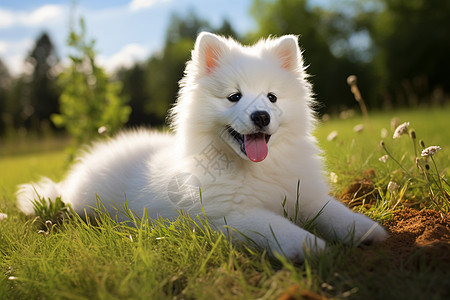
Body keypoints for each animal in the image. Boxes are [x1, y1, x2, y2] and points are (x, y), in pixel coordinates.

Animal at [17, 32, 386, 262]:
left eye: (272, 97)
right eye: (234, 97)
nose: (261, 115)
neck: (256, 170)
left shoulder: (304, 195)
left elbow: (334, 212)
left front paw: (365, 230)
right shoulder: (232, 216)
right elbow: (278, 226)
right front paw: (310, 246)